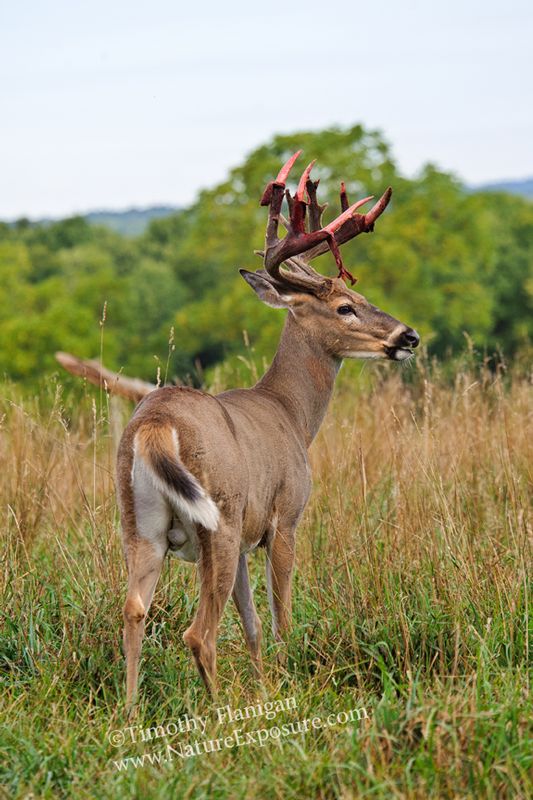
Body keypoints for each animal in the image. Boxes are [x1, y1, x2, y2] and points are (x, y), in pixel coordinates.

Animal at [58, 152, 419, 705]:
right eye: (345, 307)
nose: (409, 336)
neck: (291, 414)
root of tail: (156, 425)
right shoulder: (283, 517)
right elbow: (280, 617)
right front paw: (288, 681)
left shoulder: (250, 535)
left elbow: (251, 624)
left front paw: (266, 686)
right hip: (217, 521)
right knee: (197, 632)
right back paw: (218, 707)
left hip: (139, 523)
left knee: (134, 610)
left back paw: (131, 710)